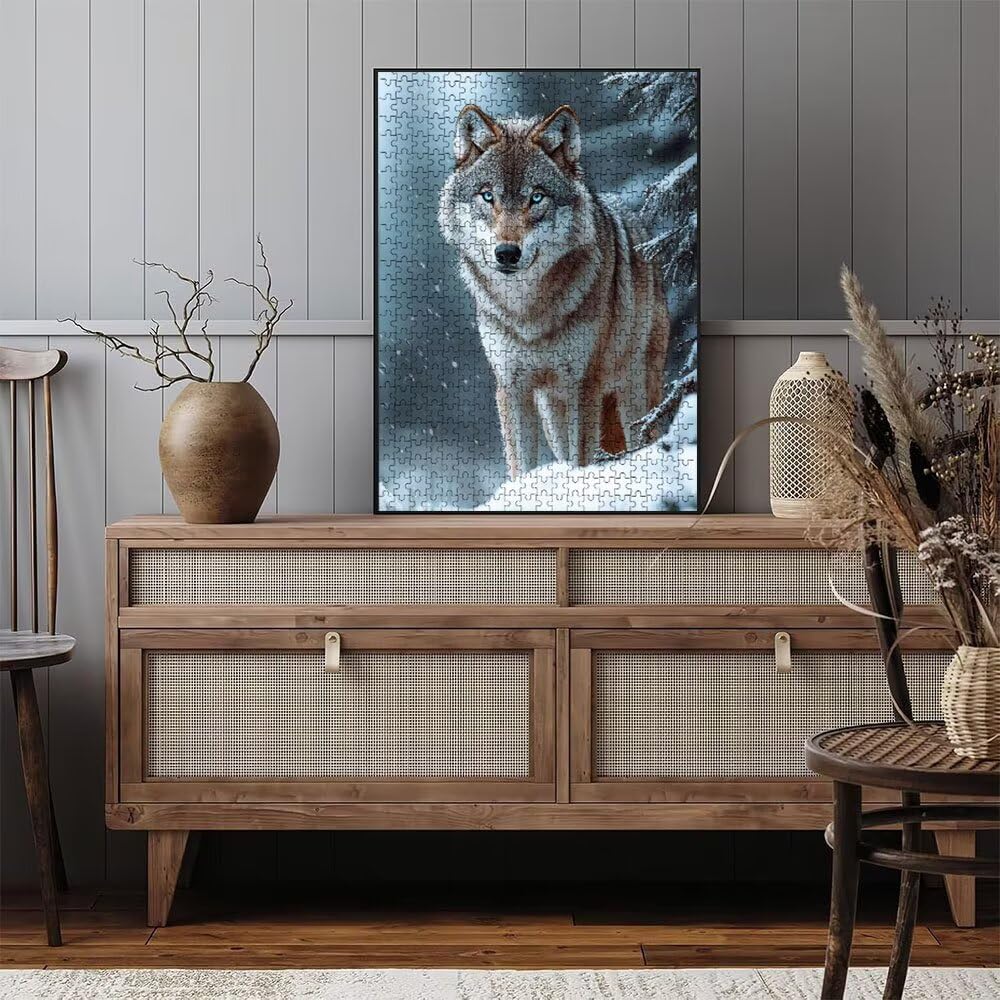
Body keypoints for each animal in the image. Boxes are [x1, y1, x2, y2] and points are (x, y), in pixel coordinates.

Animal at [439, 102, 670, 481]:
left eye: (536, 197)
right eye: (488, 196)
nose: (507, 253)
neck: (527, 313)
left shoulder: (583, 385)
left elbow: (581, 459)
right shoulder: (512, 387)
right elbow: (521, 465)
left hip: (635, 395)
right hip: (552, 412)